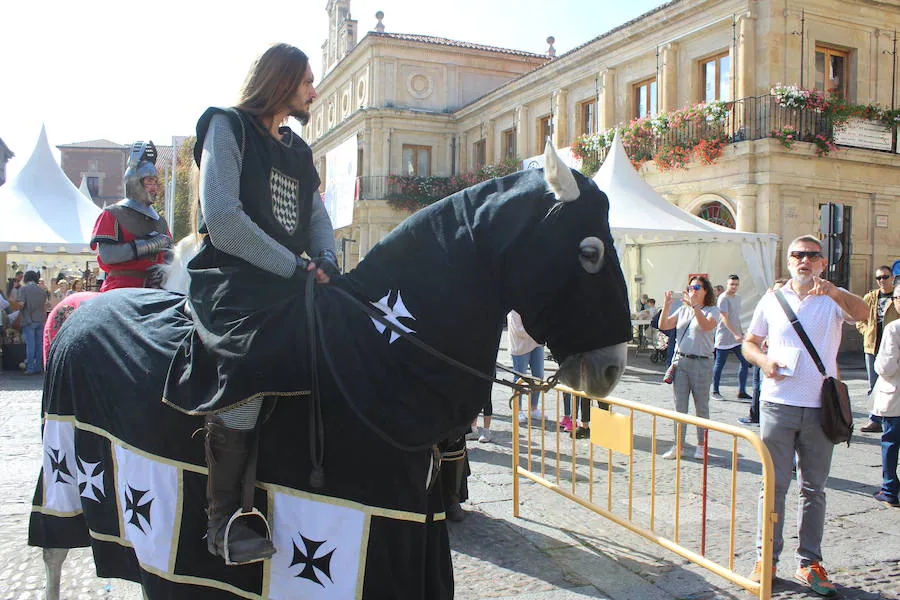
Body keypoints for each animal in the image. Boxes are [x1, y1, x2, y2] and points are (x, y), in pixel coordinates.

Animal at [29, 144, 632, 600]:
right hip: (64, 467)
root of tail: (80, 313)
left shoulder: (407, 525)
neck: (377, 349)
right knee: (55, 553)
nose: (609, 371)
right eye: (590, 252)